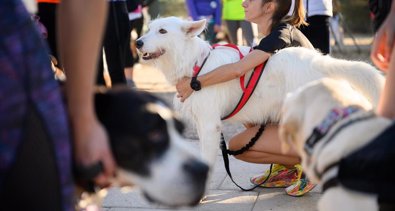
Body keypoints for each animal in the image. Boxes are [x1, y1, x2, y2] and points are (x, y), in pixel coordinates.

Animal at [138, 16, 386, 168]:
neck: (195, 64)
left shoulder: (209, 124)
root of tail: (319, 61)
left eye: (162, 31)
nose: (138, 42)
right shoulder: (202, 122)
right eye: (149, 29)